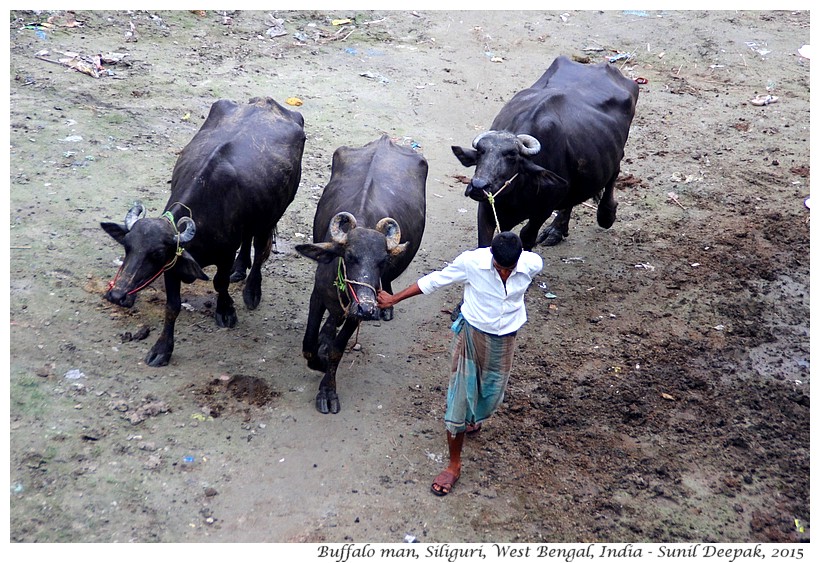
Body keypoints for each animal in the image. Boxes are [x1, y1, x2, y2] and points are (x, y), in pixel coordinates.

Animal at [101, 98, 306, 366]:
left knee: (261, 249)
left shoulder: (224, 255)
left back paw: (252, 291)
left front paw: (226, 311)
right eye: (127, 247)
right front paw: (162, 349)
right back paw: (240, 269)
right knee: (248, 239)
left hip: (272, 215)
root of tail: (269, 103)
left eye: (156, 254)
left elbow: (220, 283)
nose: (117, 295)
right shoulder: (173, 267)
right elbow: (172, 306)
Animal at [294, 134, 426, 412]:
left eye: (382, 261)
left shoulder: (359, 311)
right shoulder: (318, 294)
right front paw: (318, 358)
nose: (367, 308)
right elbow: (309, 344)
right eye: (349, 257)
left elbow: (337, 349)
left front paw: (328, 390)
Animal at [452, 56, 636, 250]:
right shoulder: (486, 209)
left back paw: (606, 215)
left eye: (512, 156)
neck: (515, 191)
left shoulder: (543, 210)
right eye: (480, 152)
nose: (478, 186)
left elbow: (527, 235)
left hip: (616, 154)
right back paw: (556, 231)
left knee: (613, 175)